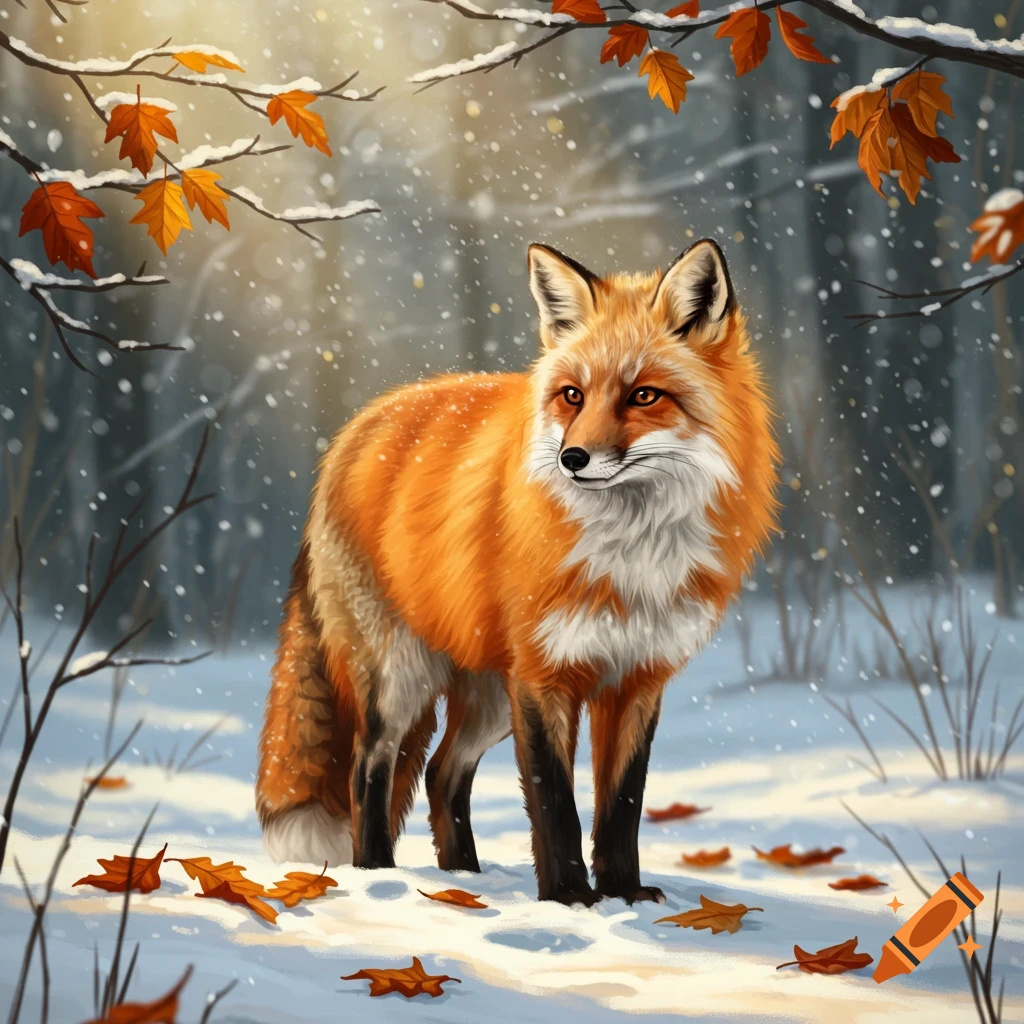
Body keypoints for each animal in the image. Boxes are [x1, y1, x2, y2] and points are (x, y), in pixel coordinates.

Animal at [256, 238, 780, 906]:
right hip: (401, 678)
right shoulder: (542, 675)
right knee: (368, 767)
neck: (631, 559)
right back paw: (378, 875)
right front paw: (569, 899)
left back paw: (462, 878)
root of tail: (352, 431)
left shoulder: (637, 678)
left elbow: (623, 803)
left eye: (644, 395)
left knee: (441, 772)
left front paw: (625, 894)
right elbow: (555, 802)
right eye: (573, 395)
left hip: (487, 697)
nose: (572, 458)